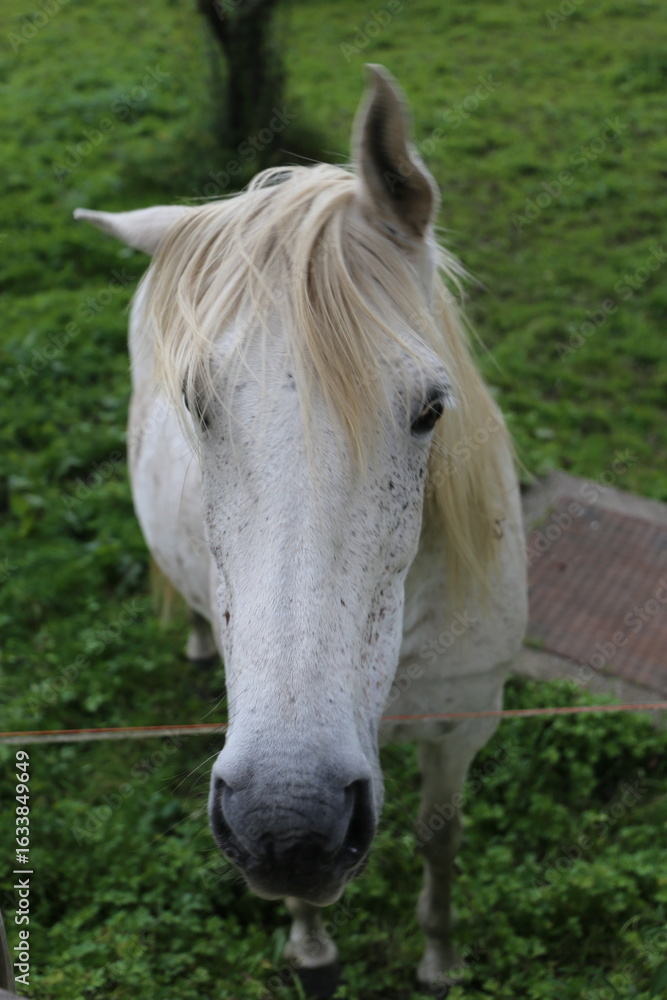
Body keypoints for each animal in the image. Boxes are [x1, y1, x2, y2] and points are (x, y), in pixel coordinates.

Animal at [74, 65, 527, 996]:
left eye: (430, 410)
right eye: (195, 407)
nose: (290, 823)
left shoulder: (466, 723)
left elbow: (440, 840)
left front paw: (438, 958)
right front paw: (313, 954)